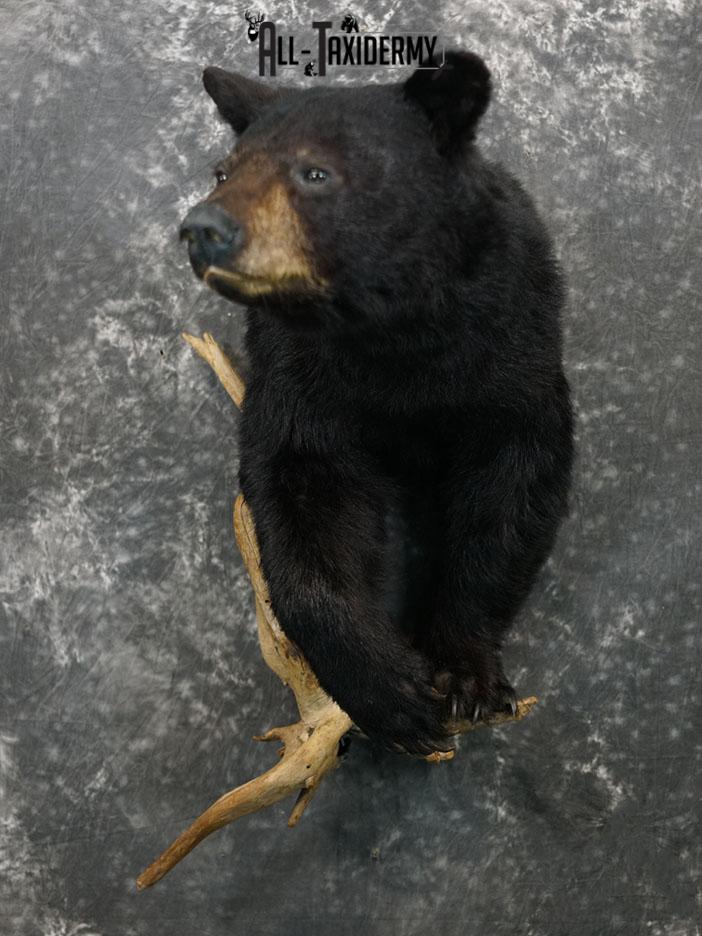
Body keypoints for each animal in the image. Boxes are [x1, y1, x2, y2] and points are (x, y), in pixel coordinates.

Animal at [179, 51, 575, 757]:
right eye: (223, 171)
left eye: (315, 172)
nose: (204, 227)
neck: (392, 337)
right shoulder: (300, 370)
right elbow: (302, 488)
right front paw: (388, 692)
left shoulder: (511, 341)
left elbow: (515, 477)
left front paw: (464, 673)